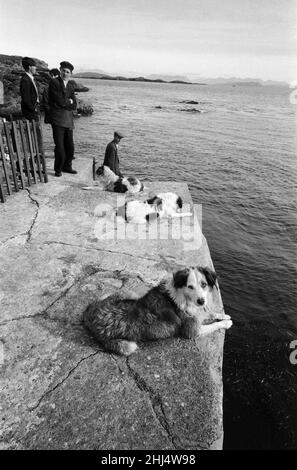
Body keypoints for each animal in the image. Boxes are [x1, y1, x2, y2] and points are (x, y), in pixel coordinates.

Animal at [82, 266, 231, 354]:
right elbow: (213, 325)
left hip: (127, 293)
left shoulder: (199, 312)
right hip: (127, 346)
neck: (183, 296)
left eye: (204, 284)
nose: (201, 301)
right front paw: (226, 323)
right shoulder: (192, 331)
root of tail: (89, 314)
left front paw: (224, 316)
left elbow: (210, 312)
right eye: (190, 286)